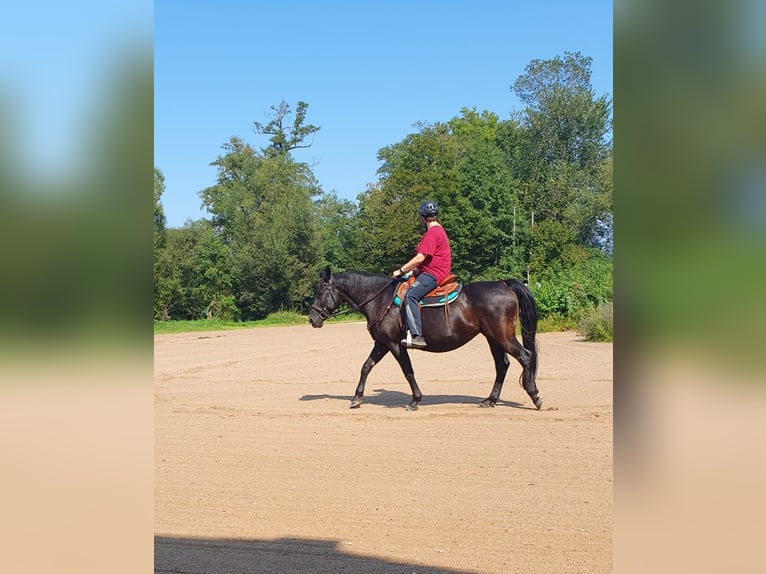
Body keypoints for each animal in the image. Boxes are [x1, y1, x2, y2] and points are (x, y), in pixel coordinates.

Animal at [308, 266, 542, 411]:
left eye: (320, 290)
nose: (312, 318)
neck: (381, 299)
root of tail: (504, 284)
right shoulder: (382, 343)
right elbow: (366, 366)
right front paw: (356, 398)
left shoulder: (395, 344)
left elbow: (407, 370)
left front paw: (415, 400)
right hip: (493, 338)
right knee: (502, 365)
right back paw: (490, 400)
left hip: (502, 336)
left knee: (526, 356)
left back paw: (534, 395)